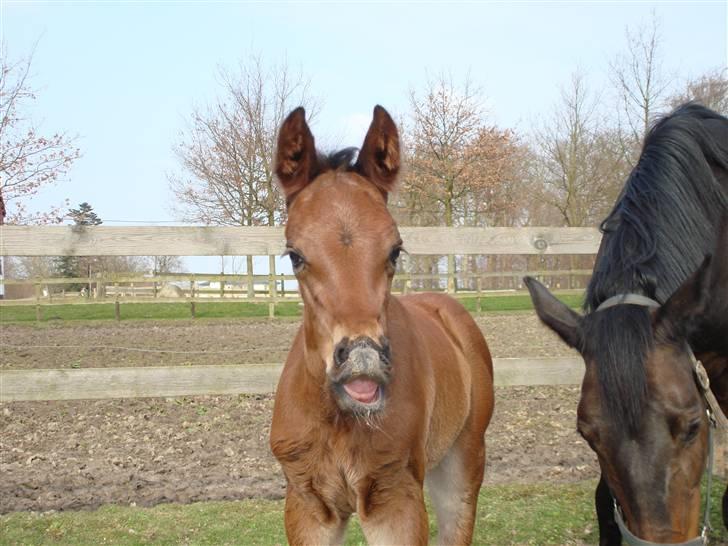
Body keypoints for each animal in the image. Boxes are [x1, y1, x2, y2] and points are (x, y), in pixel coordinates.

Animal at [270, 106, 498, 544]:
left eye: (395, 250)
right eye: (294, 255)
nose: (363, 357)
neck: (339, 419)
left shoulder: (395, 500)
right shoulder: (307, 505)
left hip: (462, 464)